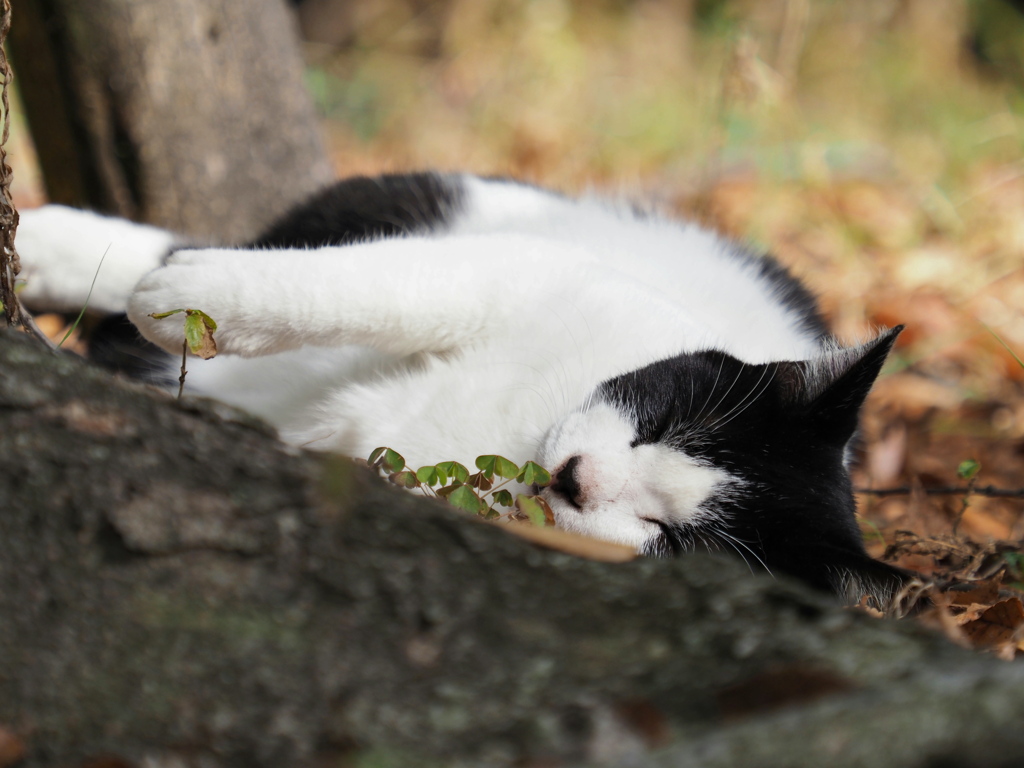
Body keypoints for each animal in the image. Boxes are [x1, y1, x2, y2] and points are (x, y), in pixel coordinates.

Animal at [16, 173, 909, 602]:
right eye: (663, 420)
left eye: (673, 538)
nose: (579, 479)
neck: (522, 433)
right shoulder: (526, 273)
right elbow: (375, 290)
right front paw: (192, 304)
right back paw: (73, 253)